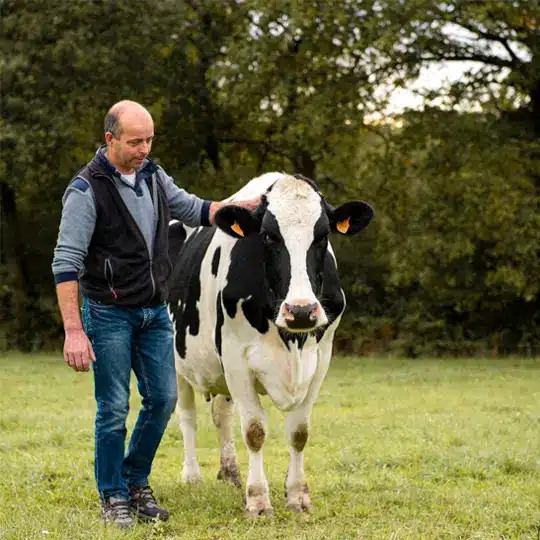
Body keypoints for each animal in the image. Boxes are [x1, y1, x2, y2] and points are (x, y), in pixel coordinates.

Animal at [167, 173, 374, 520]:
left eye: (322, 235)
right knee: (187, 416)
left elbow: (299, 431)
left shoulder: (322, 357)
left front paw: (298, 495)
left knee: (221, 413)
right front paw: (258, 500)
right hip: (175, 359)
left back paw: (230, 473)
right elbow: (254, 430)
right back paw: (192, 476)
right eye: (268, 236)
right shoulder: (236, 357)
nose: (301, 310)